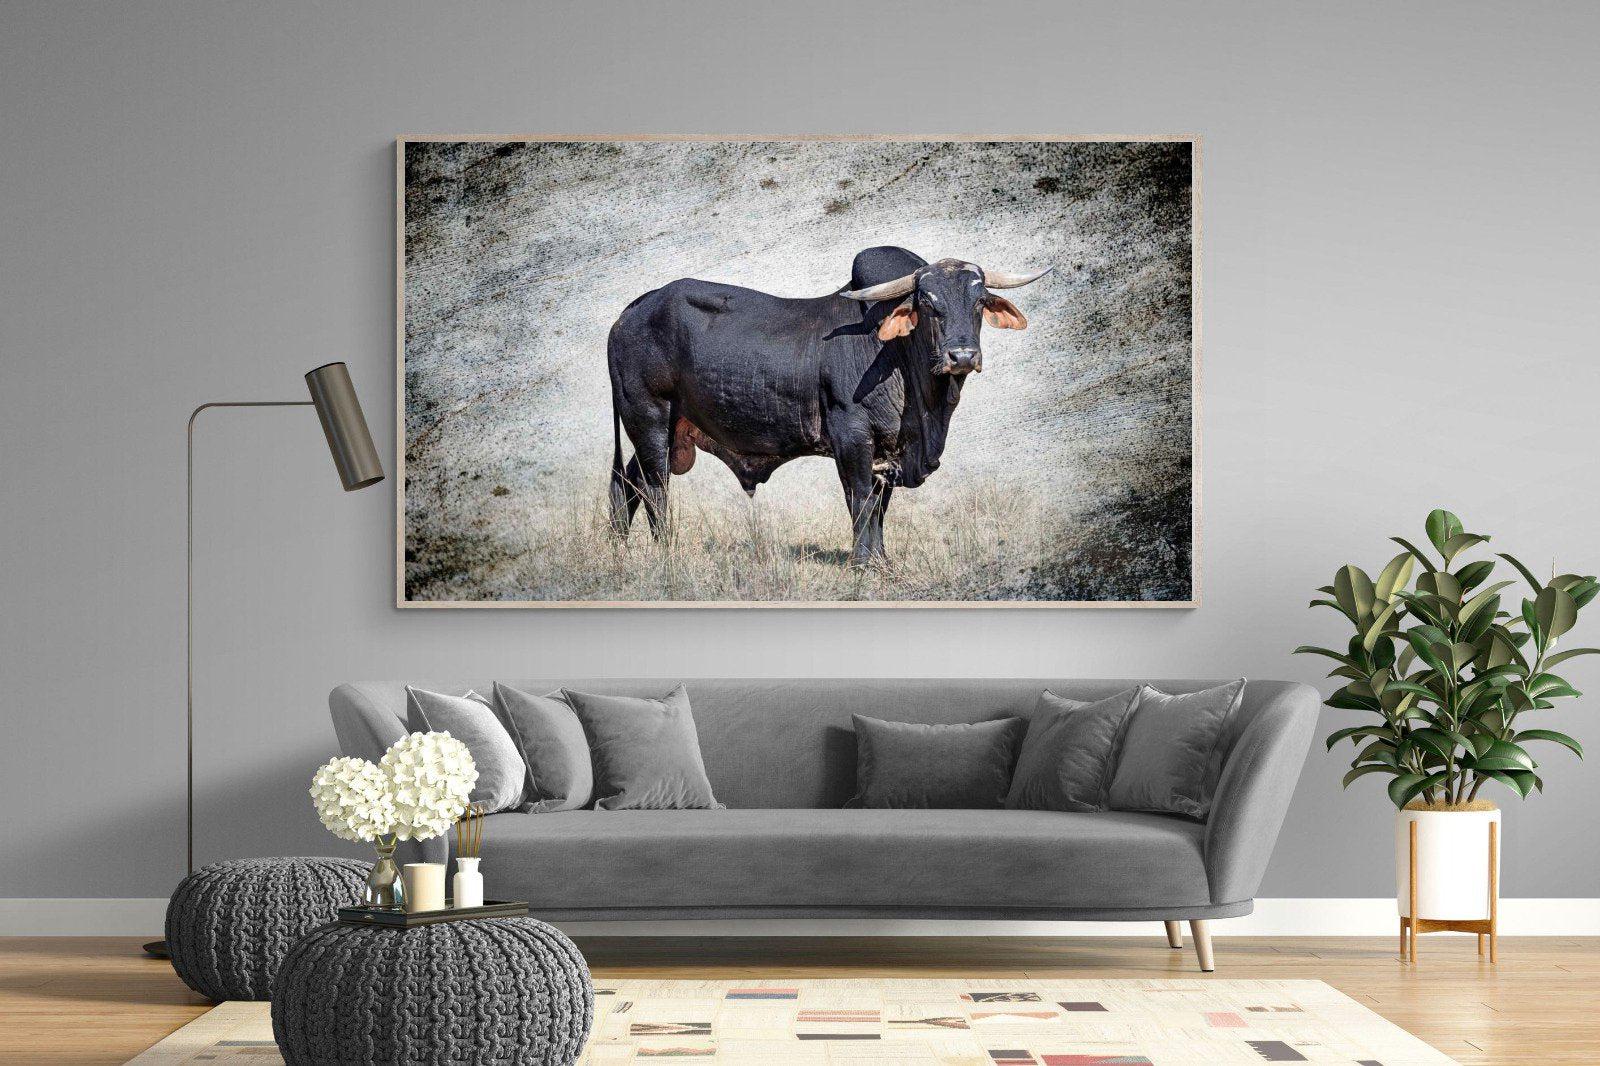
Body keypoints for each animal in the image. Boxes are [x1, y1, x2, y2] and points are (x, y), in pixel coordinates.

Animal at [606, 246, 1050, 566]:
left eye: (979, 300)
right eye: (927, 302)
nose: (962, 356)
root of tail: (633, 310)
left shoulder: (887, 451)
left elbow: (880, 505)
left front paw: (882, 560)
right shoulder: (851, 438)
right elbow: (861, 499)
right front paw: (863, 562)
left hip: (664, 431)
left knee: (626, 483)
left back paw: (618, 548)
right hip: (649, 419)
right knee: (654, 487)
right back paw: (665, 549)